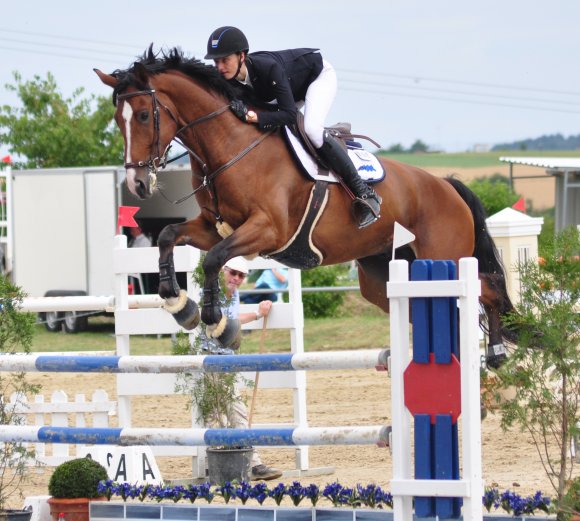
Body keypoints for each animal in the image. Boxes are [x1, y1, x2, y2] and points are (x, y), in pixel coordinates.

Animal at [95, 47, 516, 366]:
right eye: (117, 119)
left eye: (145, 115)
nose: (137, 184)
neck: (231, 146)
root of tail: (447, 185)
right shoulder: (213, 226)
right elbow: (169, 234)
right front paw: (178, 302)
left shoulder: (266, 230)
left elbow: (214, 260)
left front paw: (216, 322)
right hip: (385, 273)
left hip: (444, 255)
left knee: (487, 286)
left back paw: (496, 351)